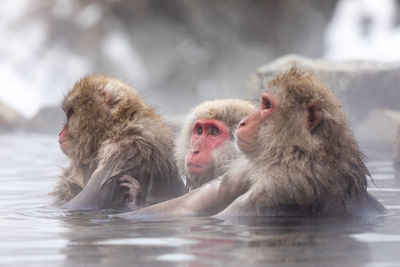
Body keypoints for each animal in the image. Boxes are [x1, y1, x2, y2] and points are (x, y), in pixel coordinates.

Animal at [117, 67, 386, 220]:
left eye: (213, 132)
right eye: (199, 131)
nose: (245, 123)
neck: (298, 153)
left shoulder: (279, 187)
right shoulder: (246, 166)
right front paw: (134, 203)